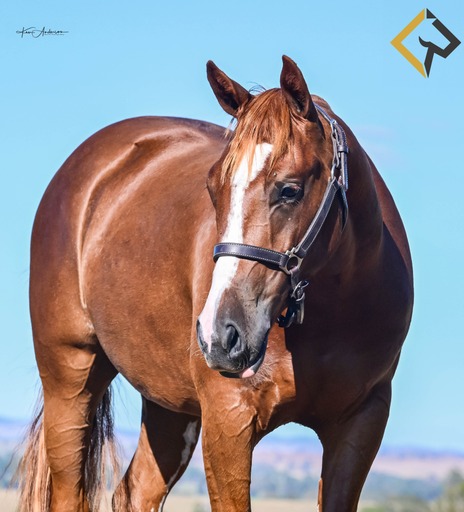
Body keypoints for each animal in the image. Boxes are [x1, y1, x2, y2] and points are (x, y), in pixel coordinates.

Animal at [18, 56, 413, 512]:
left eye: (290, 190)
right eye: (213, 188)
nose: (219, 335)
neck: (333, 315)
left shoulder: (360, 424)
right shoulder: (229, 420)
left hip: (170, 406)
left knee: (136, 490)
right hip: (70, 380)